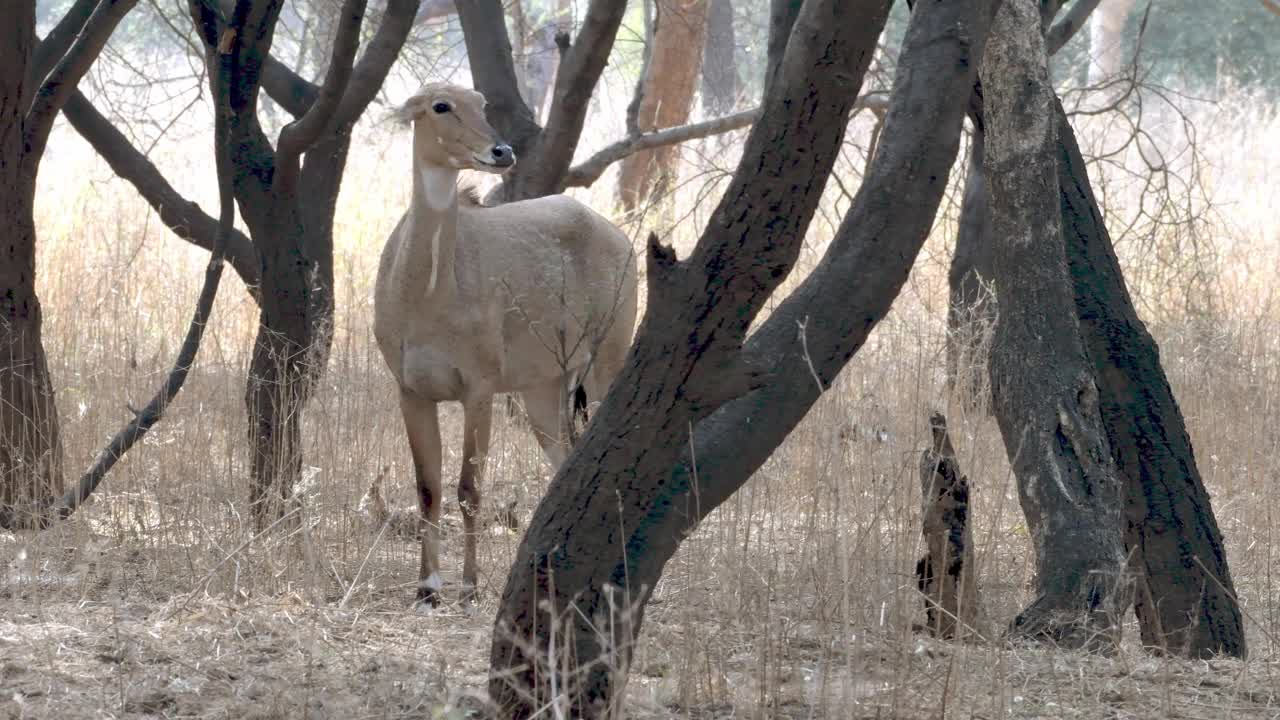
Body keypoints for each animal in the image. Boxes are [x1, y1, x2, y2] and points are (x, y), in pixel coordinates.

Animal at [373, 81, 640, 602]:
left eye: (481, 103)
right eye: (441, 106)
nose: (502, 151)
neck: (425, 290)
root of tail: (619, 236)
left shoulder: (478, 387)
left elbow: (469, 489)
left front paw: (470, 584)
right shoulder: (411, 389)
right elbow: (428, 487)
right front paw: (427, 587)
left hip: (607, 362)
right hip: (542, 390)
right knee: (566, 462)